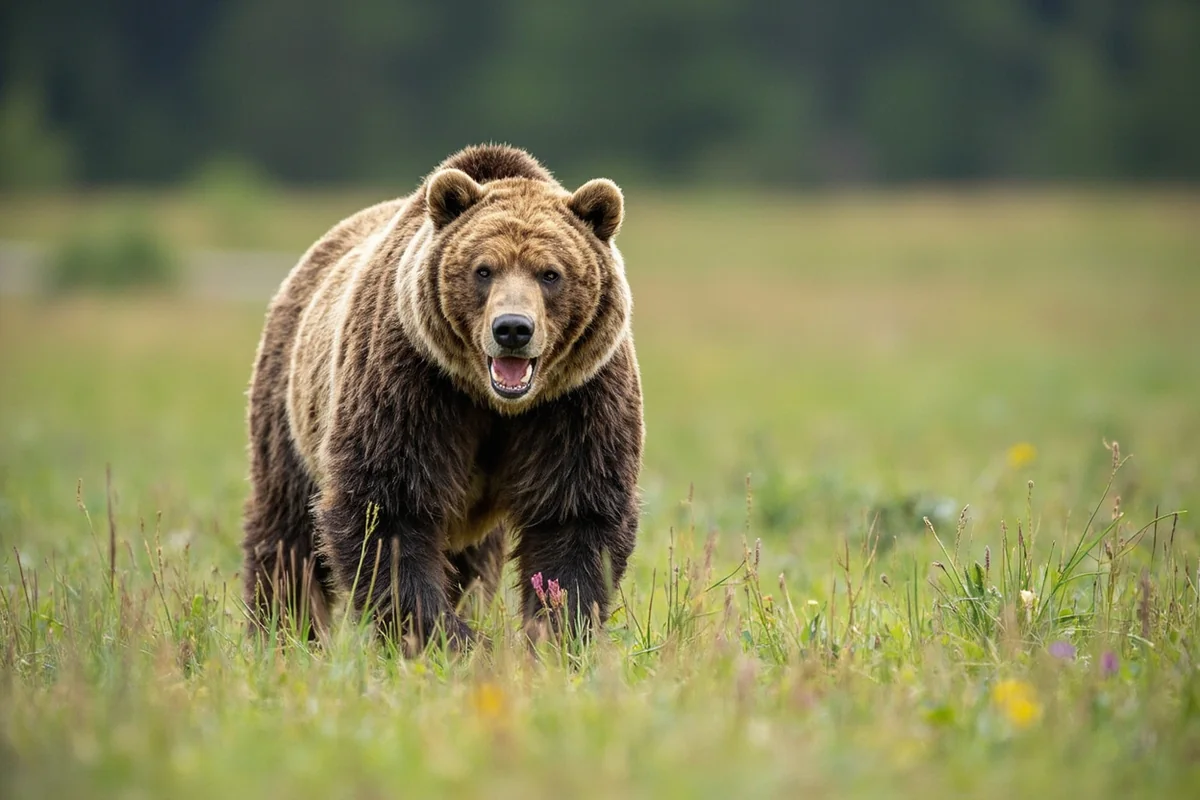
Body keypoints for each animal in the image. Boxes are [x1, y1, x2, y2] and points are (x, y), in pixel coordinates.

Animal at [240, 144, 643, 652]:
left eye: (550, 273)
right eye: (483, 270)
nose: (513, 328)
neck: (494, 403)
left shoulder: (577, 401)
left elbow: (575, 518)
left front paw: (553, 634)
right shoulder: (411, 384)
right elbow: (388, 512)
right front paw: (451, 640)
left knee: (475, 562)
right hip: (290, 405)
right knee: (286, 530)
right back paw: (282, 629)